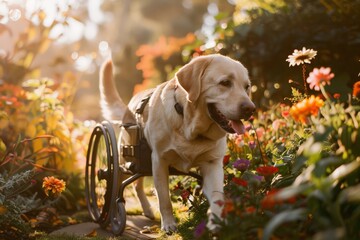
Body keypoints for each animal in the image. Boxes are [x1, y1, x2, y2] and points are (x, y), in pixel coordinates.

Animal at [99, 54, 256, 232]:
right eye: (225, 83)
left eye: (247, 87)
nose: (251, 109)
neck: (189, 127)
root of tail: (128, 107)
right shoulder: (159, 161)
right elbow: (164, 199)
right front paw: (168, 224)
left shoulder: (212, 164)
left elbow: (217, 196)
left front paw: (216, 222)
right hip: (126, 161)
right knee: (119, 182)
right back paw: (112, 213)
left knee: (137, 185)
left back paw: (147, 210)